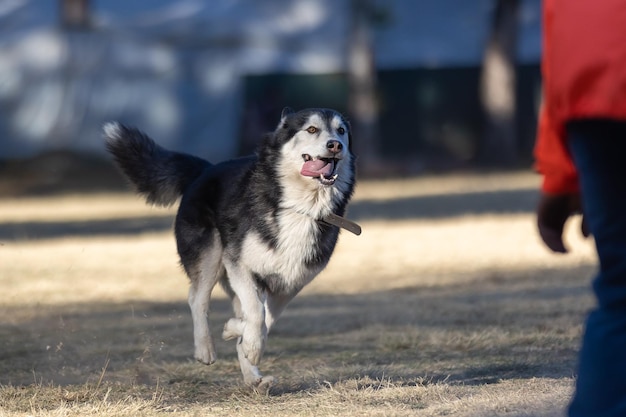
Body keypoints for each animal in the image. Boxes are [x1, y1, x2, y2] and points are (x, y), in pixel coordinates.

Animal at [105, 108, 358, 390]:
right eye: (312, 129)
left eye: (341, 131)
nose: (335, 145)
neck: (300, 206)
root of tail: (205, 169)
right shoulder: (239, 264)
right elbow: (256, 314)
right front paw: (245, 340)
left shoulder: (288, 285)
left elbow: (263, 322)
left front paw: (241, 339)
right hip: (211, 254)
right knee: (197, 298)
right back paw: (205, 349)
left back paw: (253, 377)